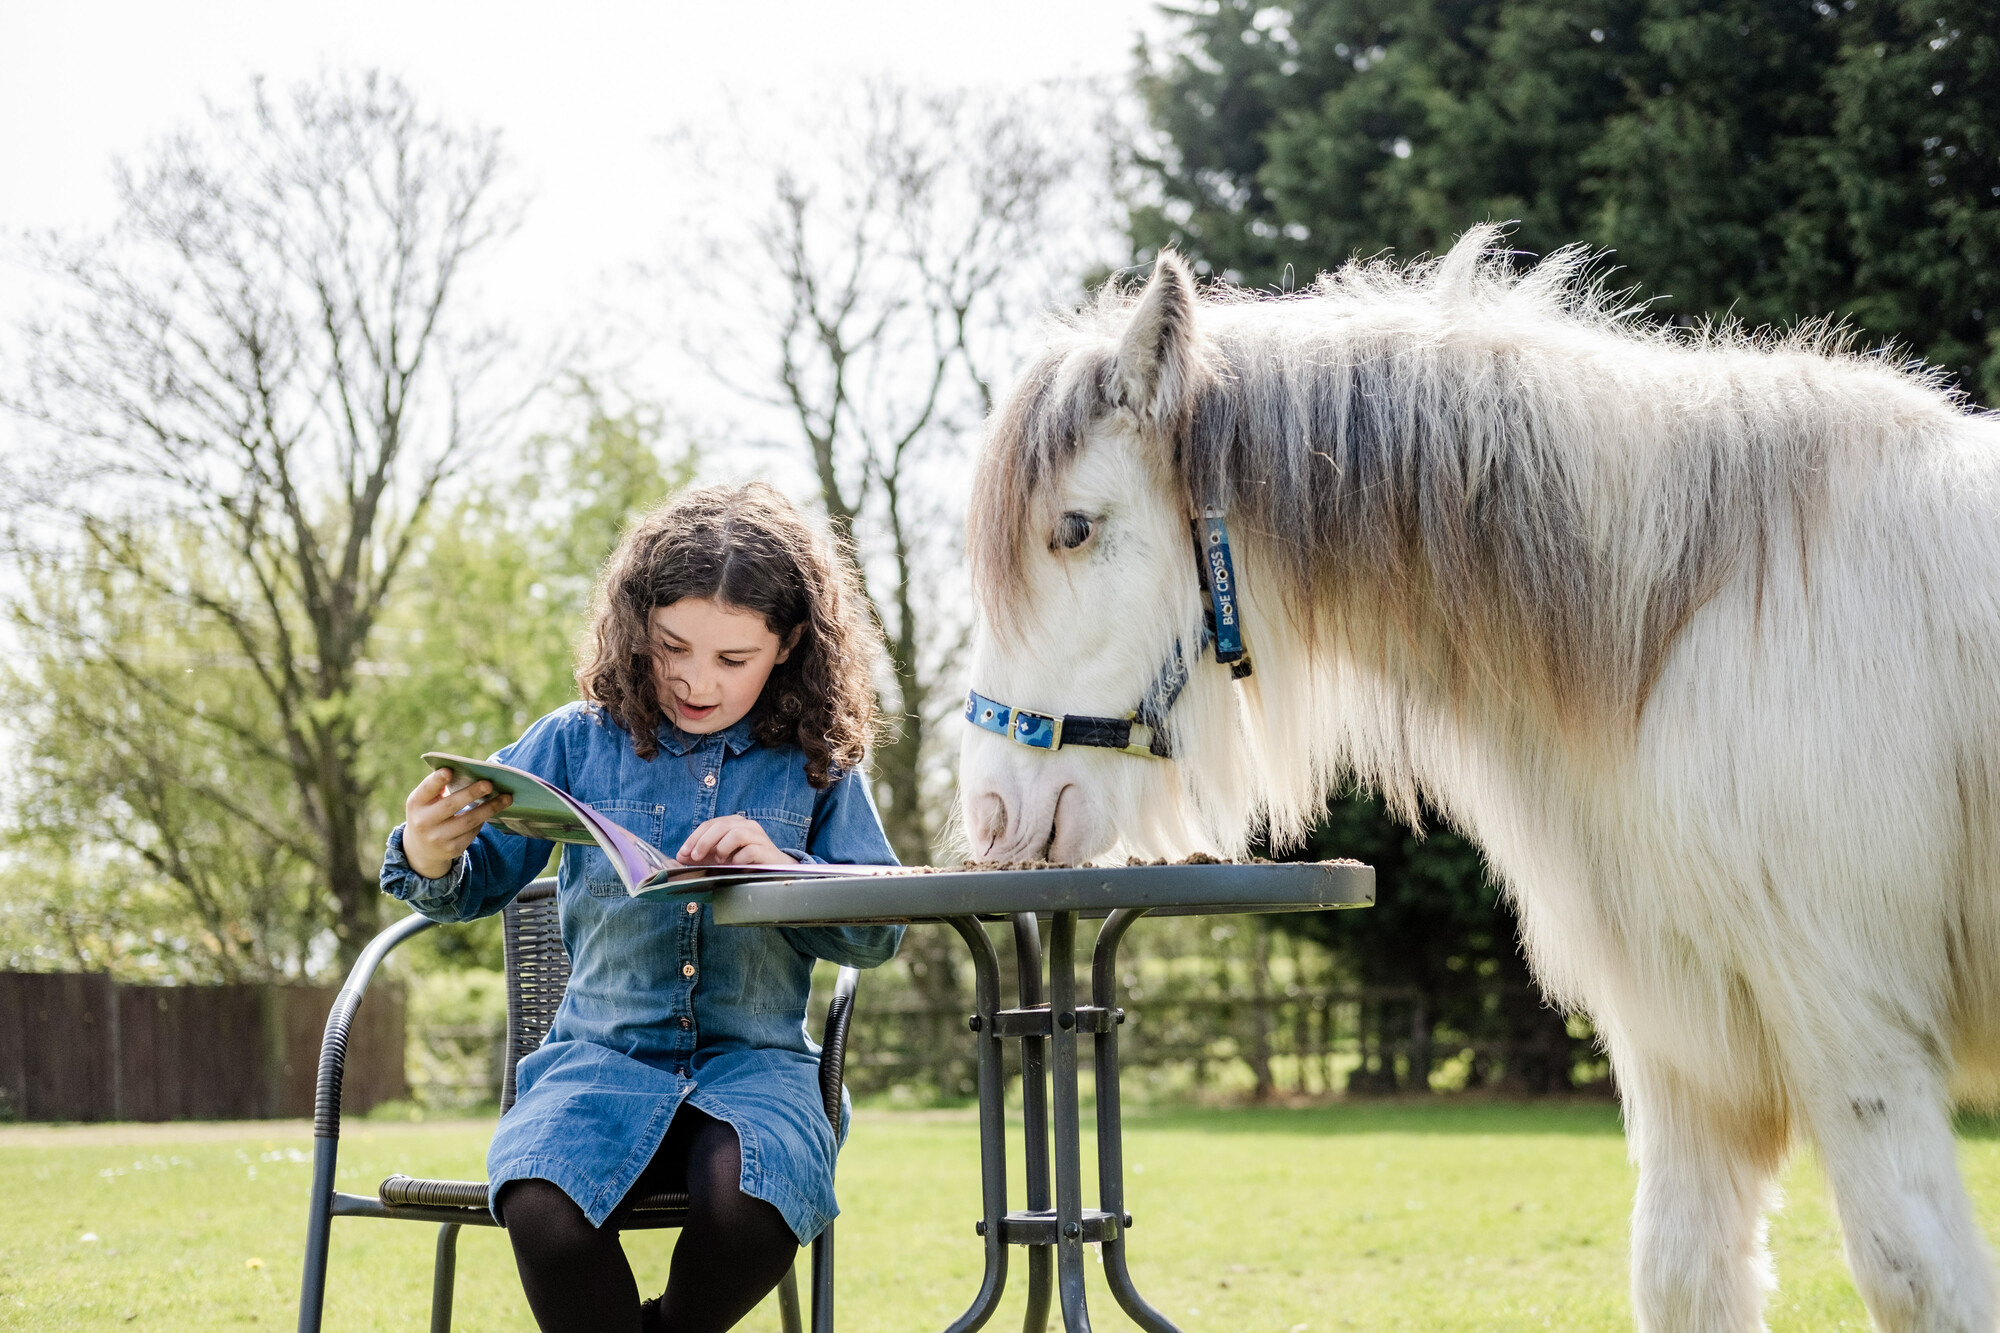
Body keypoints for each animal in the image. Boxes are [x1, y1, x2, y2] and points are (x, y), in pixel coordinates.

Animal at [952, 223, 2000, 1320]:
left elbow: (1921, 1281)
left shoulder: (1858, 1035)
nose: (991, 808)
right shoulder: (1688, 1058)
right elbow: (1678, 1274)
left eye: (1073, 527)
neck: (1681, 622)